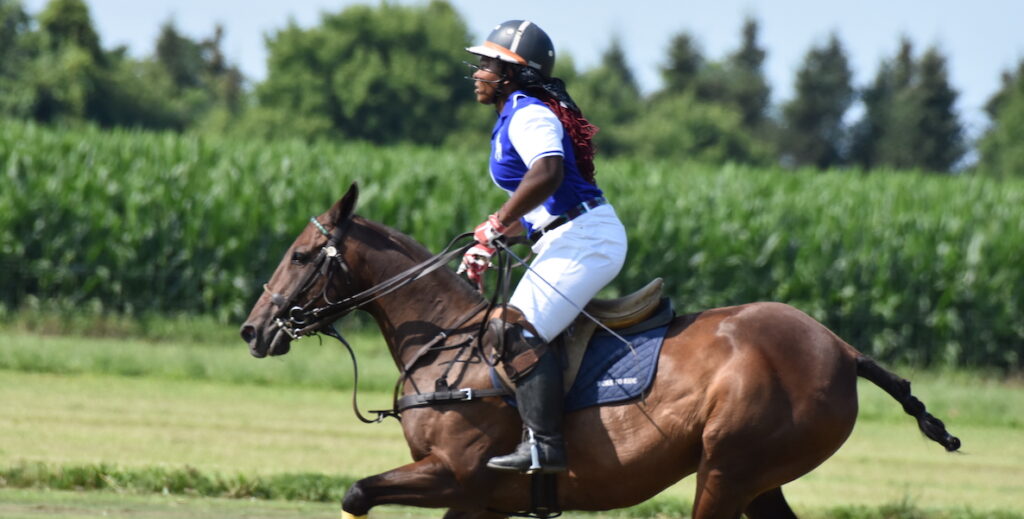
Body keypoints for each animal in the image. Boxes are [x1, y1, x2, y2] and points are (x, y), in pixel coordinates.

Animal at [239, 185, 958, 517]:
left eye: (300, 255)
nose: (252, 329)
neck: (446, 341)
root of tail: (841, 348)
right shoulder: (479, 498)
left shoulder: (458, 473)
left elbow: (357, 491)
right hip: (760, 479)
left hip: (727, 470)